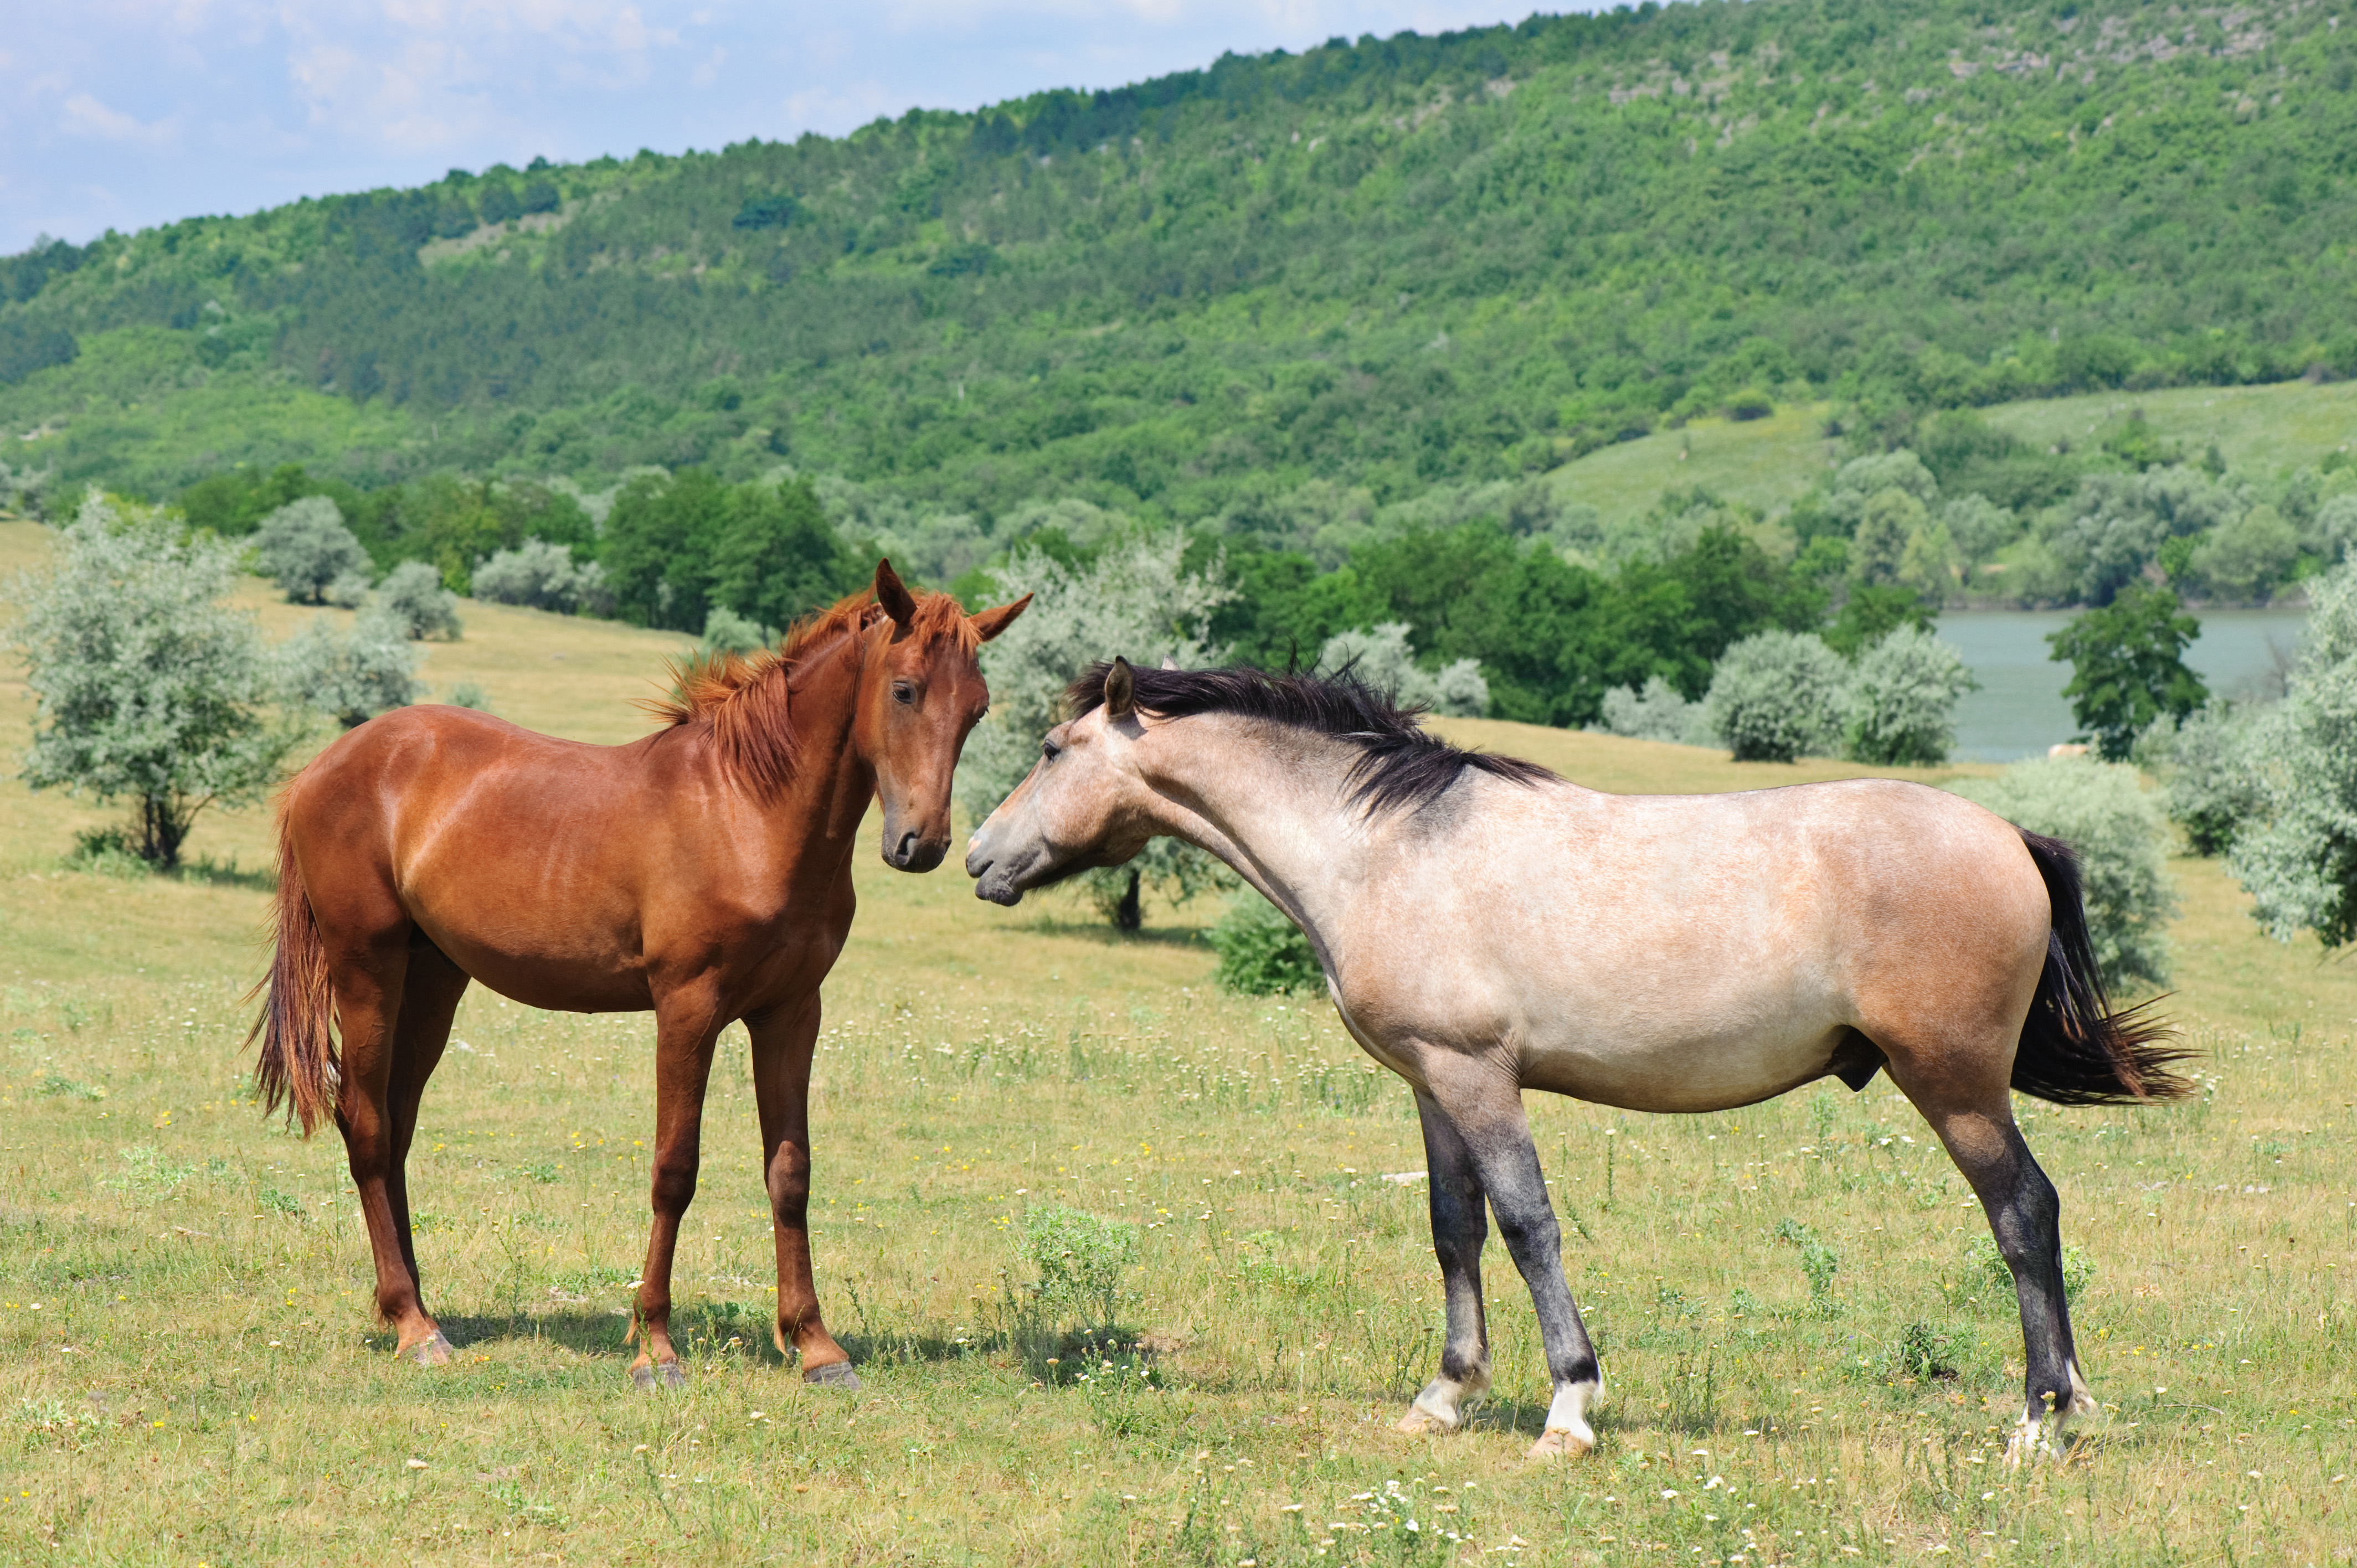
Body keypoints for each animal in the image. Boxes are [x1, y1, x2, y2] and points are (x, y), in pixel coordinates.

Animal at [253, 559, 1027, 1386]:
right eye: (905, 689)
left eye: (978, 708)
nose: (924, 844)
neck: (746, 811)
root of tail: (324, 767)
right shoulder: (688, 1009)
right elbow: (674, 1170)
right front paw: (655, 1344)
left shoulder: (792, 1013)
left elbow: (791, 1173)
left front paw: (816, 1345)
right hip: (368, 970)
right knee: (365, 1124)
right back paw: (412, 1325)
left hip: (434, 981)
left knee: (396, 1126)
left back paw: (416, 1305)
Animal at [966, 655, 2178, 1462]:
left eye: (1051, 751)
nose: (977, 855)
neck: (1387, 848)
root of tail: (2012, 836)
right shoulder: (1434, 1083)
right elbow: (1452, 1229)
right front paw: (1445, 1395)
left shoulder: (1479, 1077)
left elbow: (1525, 1225)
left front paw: (1568, 1409)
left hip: (1954, 1084)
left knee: (2023, 1213)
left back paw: (2040, 1420)